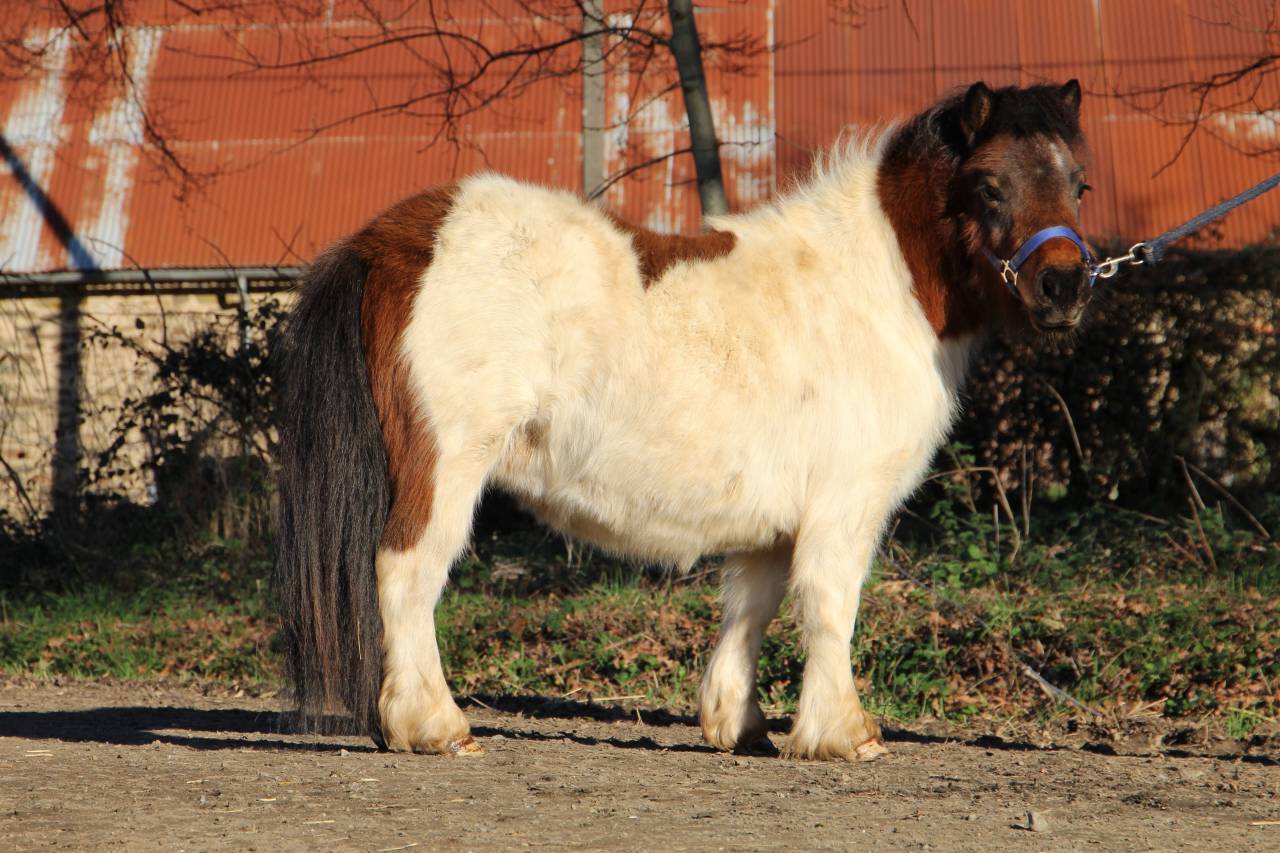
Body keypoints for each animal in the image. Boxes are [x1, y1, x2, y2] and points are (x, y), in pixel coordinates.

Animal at [274, 80, 1096, 761]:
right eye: (990, 184)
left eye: (1079, 184)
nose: (1065, 285)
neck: (879, 284)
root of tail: (391, 241)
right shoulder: (845, 507)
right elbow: (831, 607)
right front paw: (844, 732)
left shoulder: (775, 524)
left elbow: (753, 609)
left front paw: (740, 724)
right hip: (445, 464)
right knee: (407, 572)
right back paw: (435, 725)